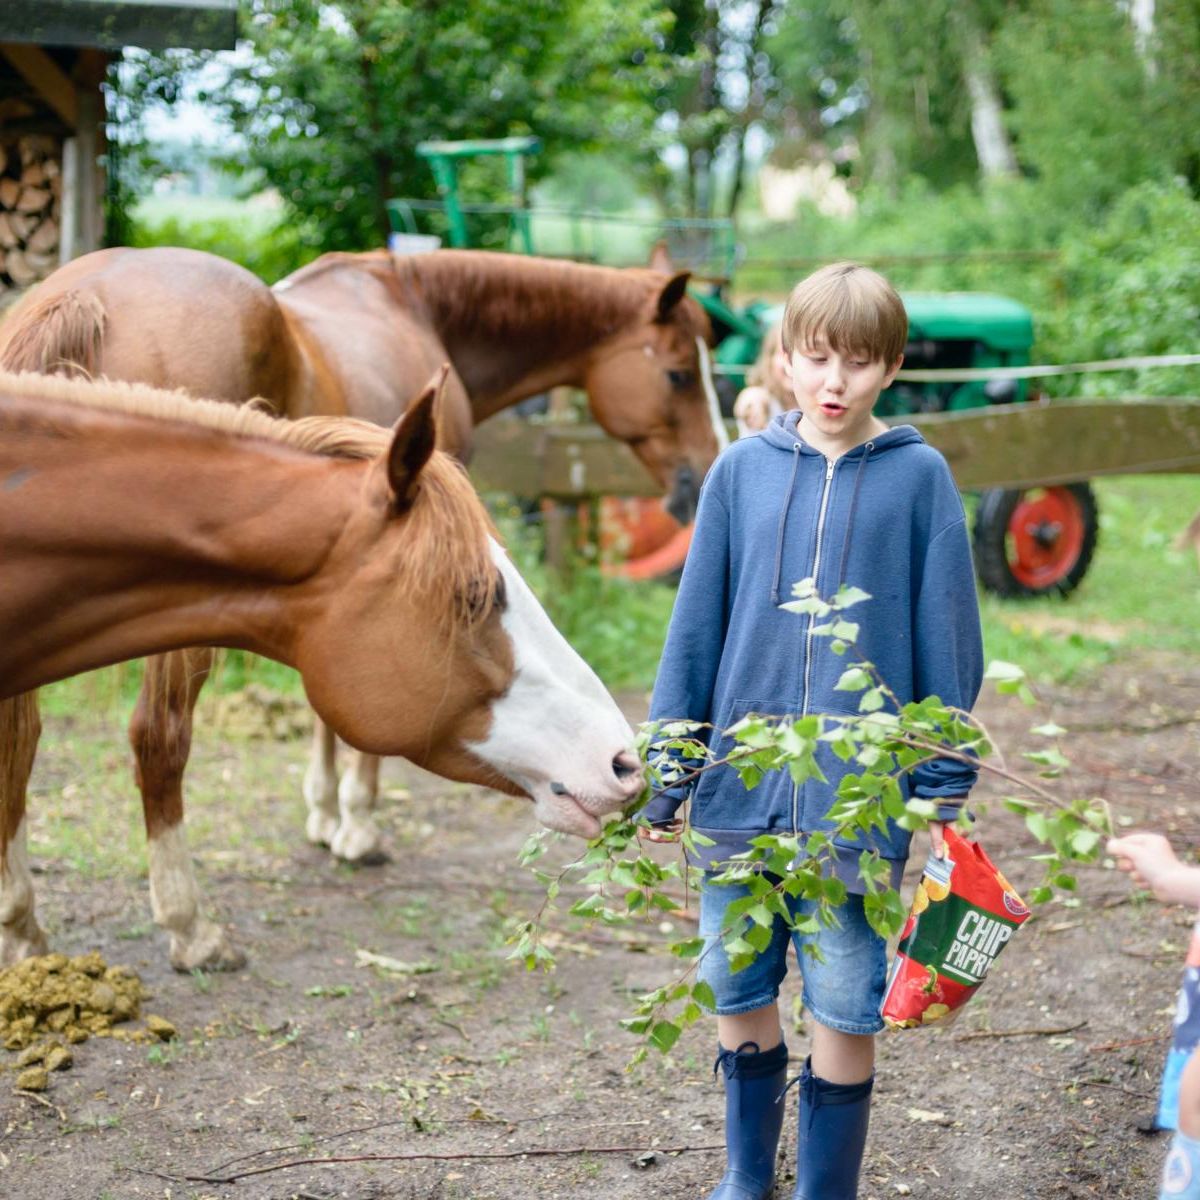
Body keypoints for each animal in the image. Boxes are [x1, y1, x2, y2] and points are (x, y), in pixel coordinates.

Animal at [0, 243, 715, 955]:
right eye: (680, 375)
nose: (704, 475)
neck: (414, 307)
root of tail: (84, 297)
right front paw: (357, 826)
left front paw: (321, 810)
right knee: (159, 736)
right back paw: (188, 924)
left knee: (23, 737)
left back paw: (23, 925)